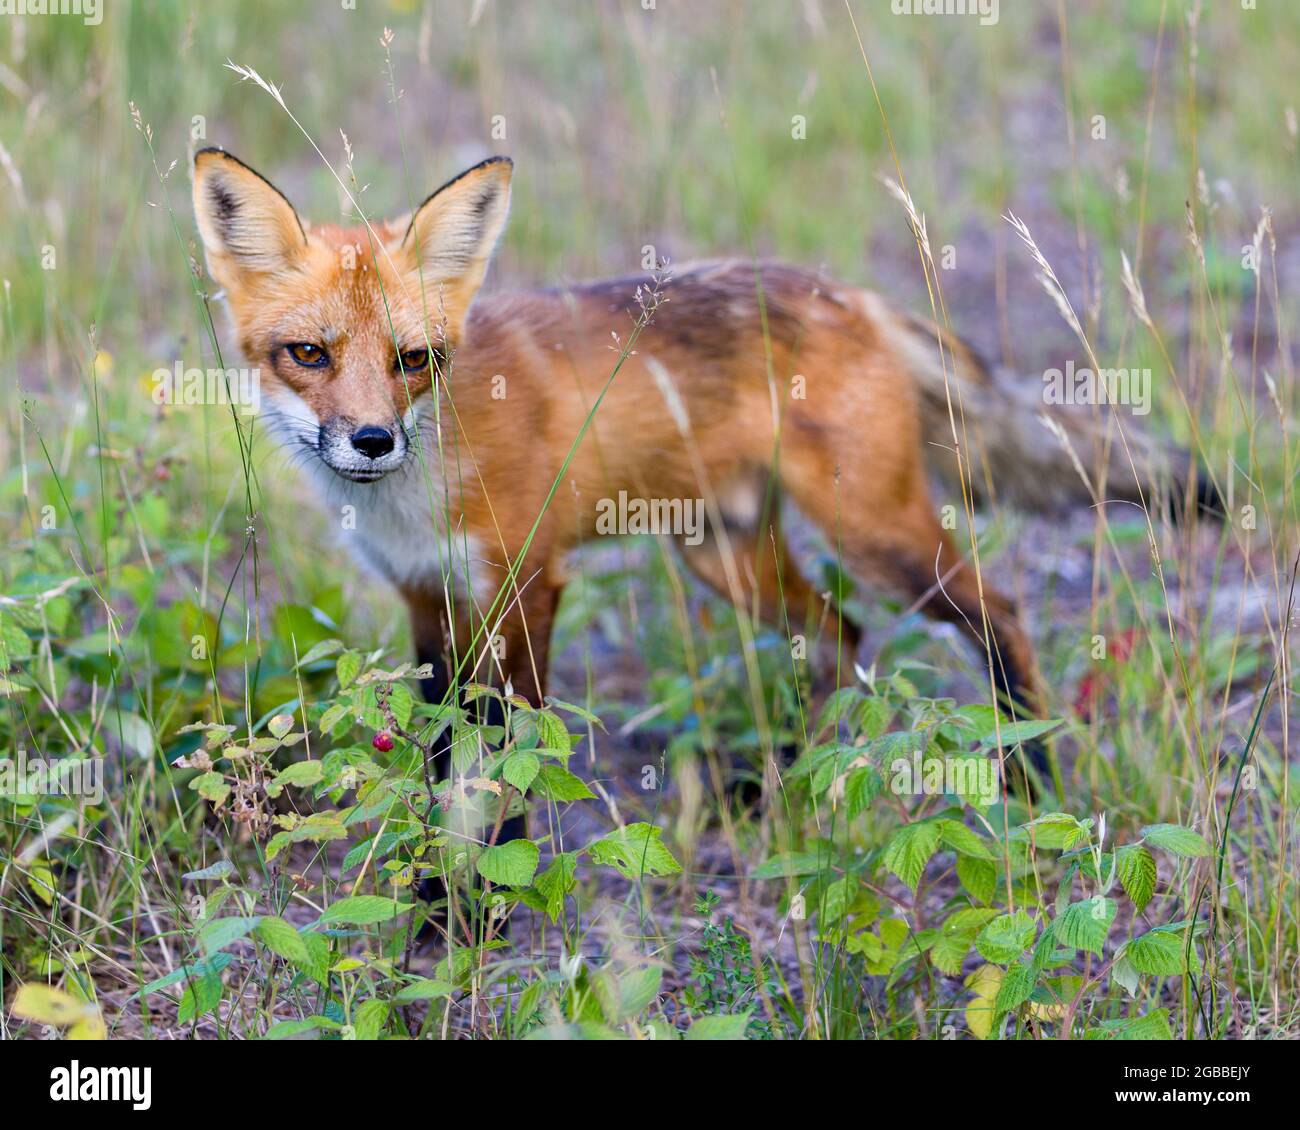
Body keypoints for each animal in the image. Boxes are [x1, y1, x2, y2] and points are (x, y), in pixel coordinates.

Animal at [192, 147, 1216, 801]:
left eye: (413, 360)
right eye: (309, 354)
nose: (372, 440)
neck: (422, 483)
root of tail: (858, 297)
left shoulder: (526, 585)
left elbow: (504, 768)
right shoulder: (424, 599)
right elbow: (445, 758)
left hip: (872, 534)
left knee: (995, 611)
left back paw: (1029, 773)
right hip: (720, 555)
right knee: (838, 634)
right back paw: (775, 787)